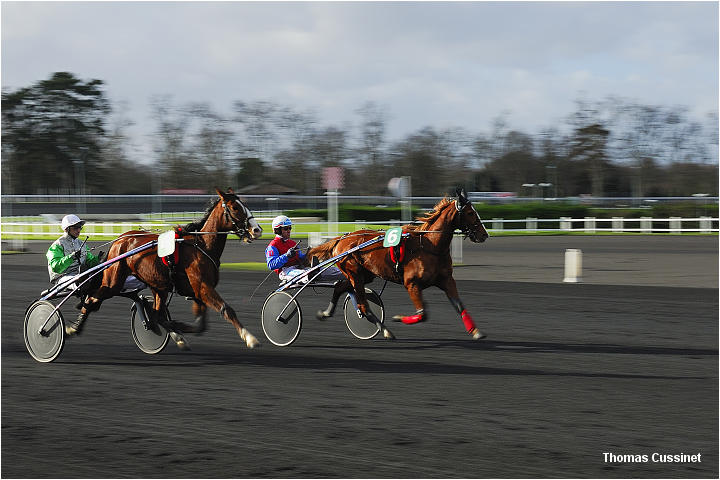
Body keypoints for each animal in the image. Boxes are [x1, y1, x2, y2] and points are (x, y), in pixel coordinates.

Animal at [74, 189, 264, 350]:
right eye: (235, 207)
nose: (257, 230)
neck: (202, 246)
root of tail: (119, 239)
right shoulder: (203, 288)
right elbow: (226, 309)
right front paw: (250, 338)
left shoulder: (197, 292)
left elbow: (200, 325)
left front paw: (179, 330)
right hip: (114, 281)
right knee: (92, 298)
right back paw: (74, 327)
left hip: (158, 285)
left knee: (157, 313)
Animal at [310, 188, 490, 342]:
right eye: (470, 213)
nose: (484, 235)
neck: (430, 245)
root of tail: (341, 239)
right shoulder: (411, 283)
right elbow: (422, 314)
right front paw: (398, 318)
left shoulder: (446, 280)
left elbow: (459, 306)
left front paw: (476, 331)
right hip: (355, 273)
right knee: (363, 305)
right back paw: (385, 330)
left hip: (364, 275)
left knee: (340, 287)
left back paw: (326, 313)